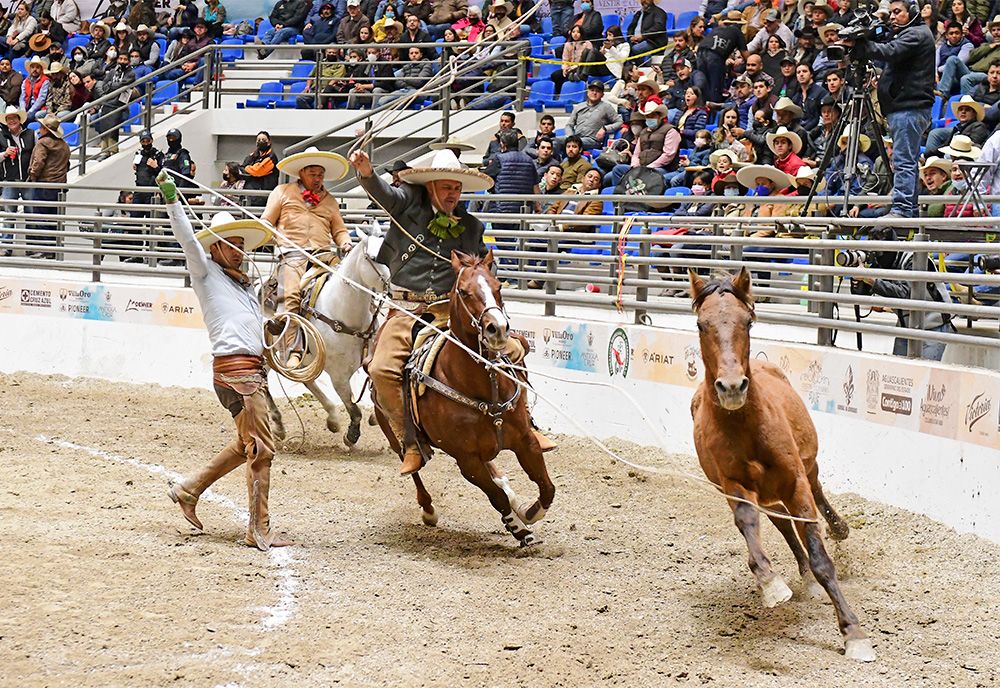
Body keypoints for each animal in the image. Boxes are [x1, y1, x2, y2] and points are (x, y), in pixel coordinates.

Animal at [268, 222, 392, 446]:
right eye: (375, 257)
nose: (392, 287)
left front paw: (374, 416)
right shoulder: (339, 376)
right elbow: (354, 410)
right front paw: (351, 435)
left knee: (307, 380)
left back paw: (331, 418)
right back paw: (279, 425)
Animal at [372, 250, 556, 544]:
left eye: (498, 286)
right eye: (464, 291)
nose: (498, 329)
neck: (484, 387)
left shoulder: (526, 441)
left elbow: (546, 487)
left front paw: (527, 513)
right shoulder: (466, 459)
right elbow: (496, 497)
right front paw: (518, 526)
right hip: (393, 436)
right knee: (413, 468)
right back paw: (428, 509)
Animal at [688, 268, 876, 660]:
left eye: (748, 320)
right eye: (701, 324)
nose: (732, 387)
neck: (746, 427)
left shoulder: (795, 483)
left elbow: (821, 556)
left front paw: (854, 633)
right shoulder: (734, 486)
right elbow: (750, 526)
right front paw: (770, 581)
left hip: (807, 469)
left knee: (816, 500)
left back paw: (838, 529)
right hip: (768, 495)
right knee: (783, 526)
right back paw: (802, 576)